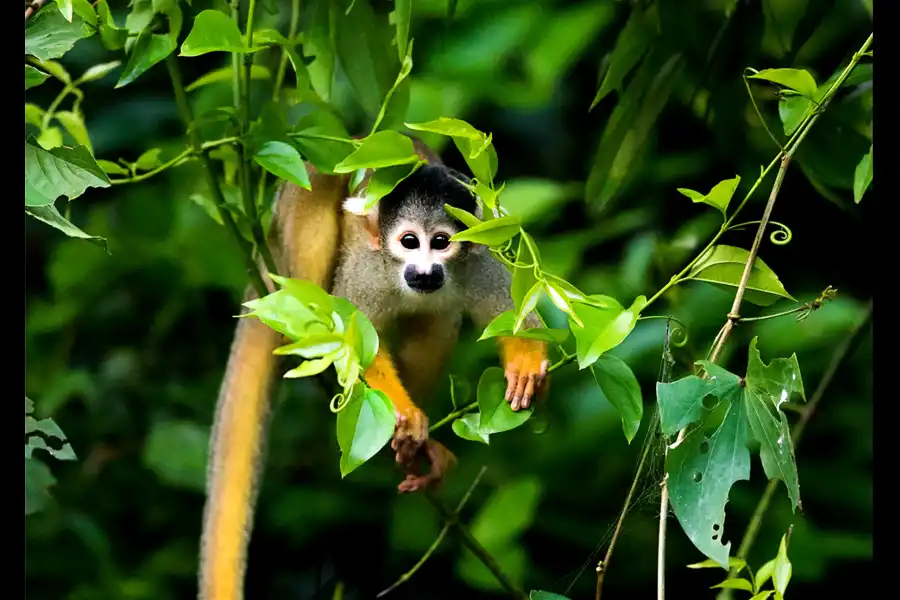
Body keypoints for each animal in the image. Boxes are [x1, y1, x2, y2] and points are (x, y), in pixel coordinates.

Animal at [200, 138, 548, 600]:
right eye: (409, 241)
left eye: (441, 242)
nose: (425, 271)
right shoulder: (366, 271)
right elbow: (356, 345)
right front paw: (406, 414)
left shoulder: (480, 262)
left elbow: (519, 320)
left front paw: (525, 365)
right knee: (320, 184)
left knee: (439, 323)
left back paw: (418, 451)